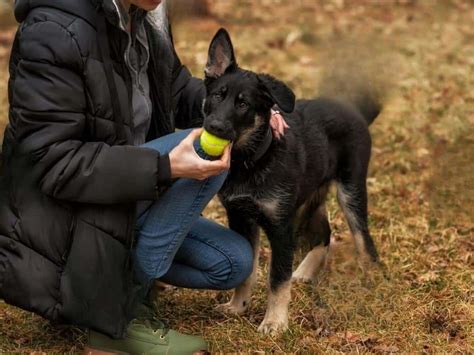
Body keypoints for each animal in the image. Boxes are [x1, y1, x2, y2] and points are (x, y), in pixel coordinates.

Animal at [203, 29, 382, 336]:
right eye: (217, 96)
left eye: (243, 104)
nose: (214, 126)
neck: (252, 160)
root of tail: (354, 109)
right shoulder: (241, 218)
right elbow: (248, 271)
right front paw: (238, 307)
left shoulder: (279, 227)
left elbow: (277, 278)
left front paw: (274, 323)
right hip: (307, 199)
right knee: (324, 233)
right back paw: (306, 271)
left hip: (349, 190)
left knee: (363, 240)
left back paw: (371, 281)